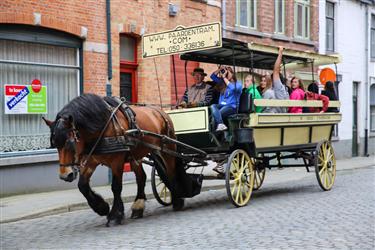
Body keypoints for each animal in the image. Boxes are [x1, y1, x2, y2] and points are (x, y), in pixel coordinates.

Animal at [43, 93, 184, 225]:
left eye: (69, 142)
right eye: (54, 144)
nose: (65, 175)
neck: (102, 125)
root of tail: (161, 111)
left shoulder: (117, 161)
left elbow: (116, 186)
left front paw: (115, 215)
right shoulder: (91, 160)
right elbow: (82, 185)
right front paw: (102, 207)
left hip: (167, 148)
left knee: (171, 171)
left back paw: (177, 200)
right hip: (136, 155)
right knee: (141, 177)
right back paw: (138, 207)